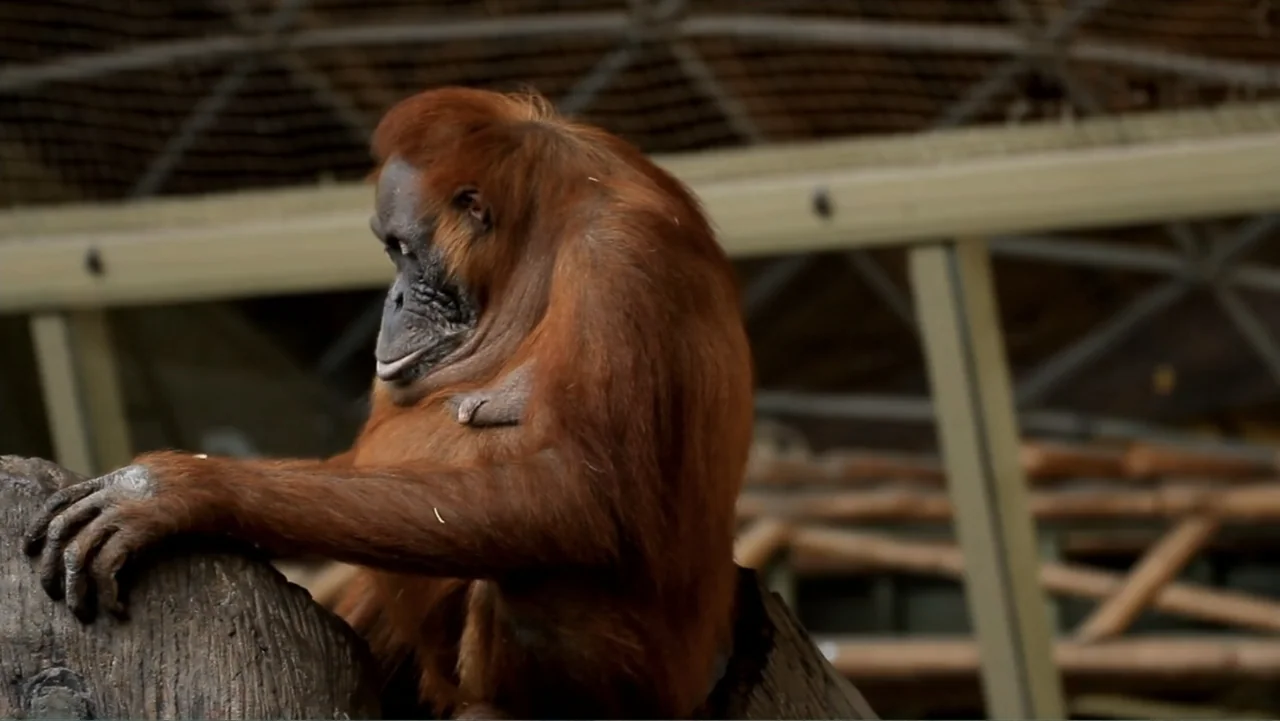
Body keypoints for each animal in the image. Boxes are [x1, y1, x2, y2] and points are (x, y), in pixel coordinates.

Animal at [22, 86, 755, 720]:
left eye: (401, 248)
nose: (393, 299)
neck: (534, 244)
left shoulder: (618, 260)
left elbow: (578, 491)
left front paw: (180, 490)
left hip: (656, 690)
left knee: (545, 579)